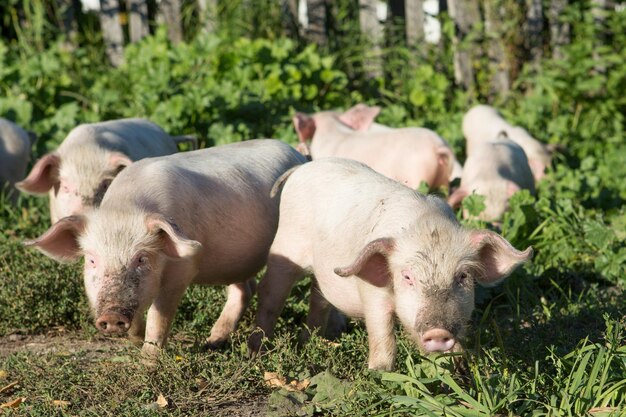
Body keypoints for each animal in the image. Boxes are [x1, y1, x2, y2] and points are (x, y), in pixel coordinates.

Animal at [25, 138, 308, 356]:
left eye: (141, 258)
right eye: (92, 260)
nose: (112, 316)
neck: (124, 209)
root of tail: (297, 153)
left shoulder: (184, 268)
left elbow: (159, 315)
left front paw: (147, 362)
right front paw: (135, 341)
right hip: (234, 260)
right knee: (244, 289)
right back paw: (212, 343)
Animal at [249, 158, 532, 368]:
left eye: (462, 276)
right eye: (407, 277)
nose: (438, 331)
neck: (426, 227)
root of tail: (301, 168)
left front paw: (457, 366)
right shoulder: (372, 291)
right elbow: (382, 332)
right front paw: (379, 373)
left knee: (318, 298)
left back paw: (314, 341)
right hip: (285, 246)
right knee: (270, 295)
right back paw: (257, 350)